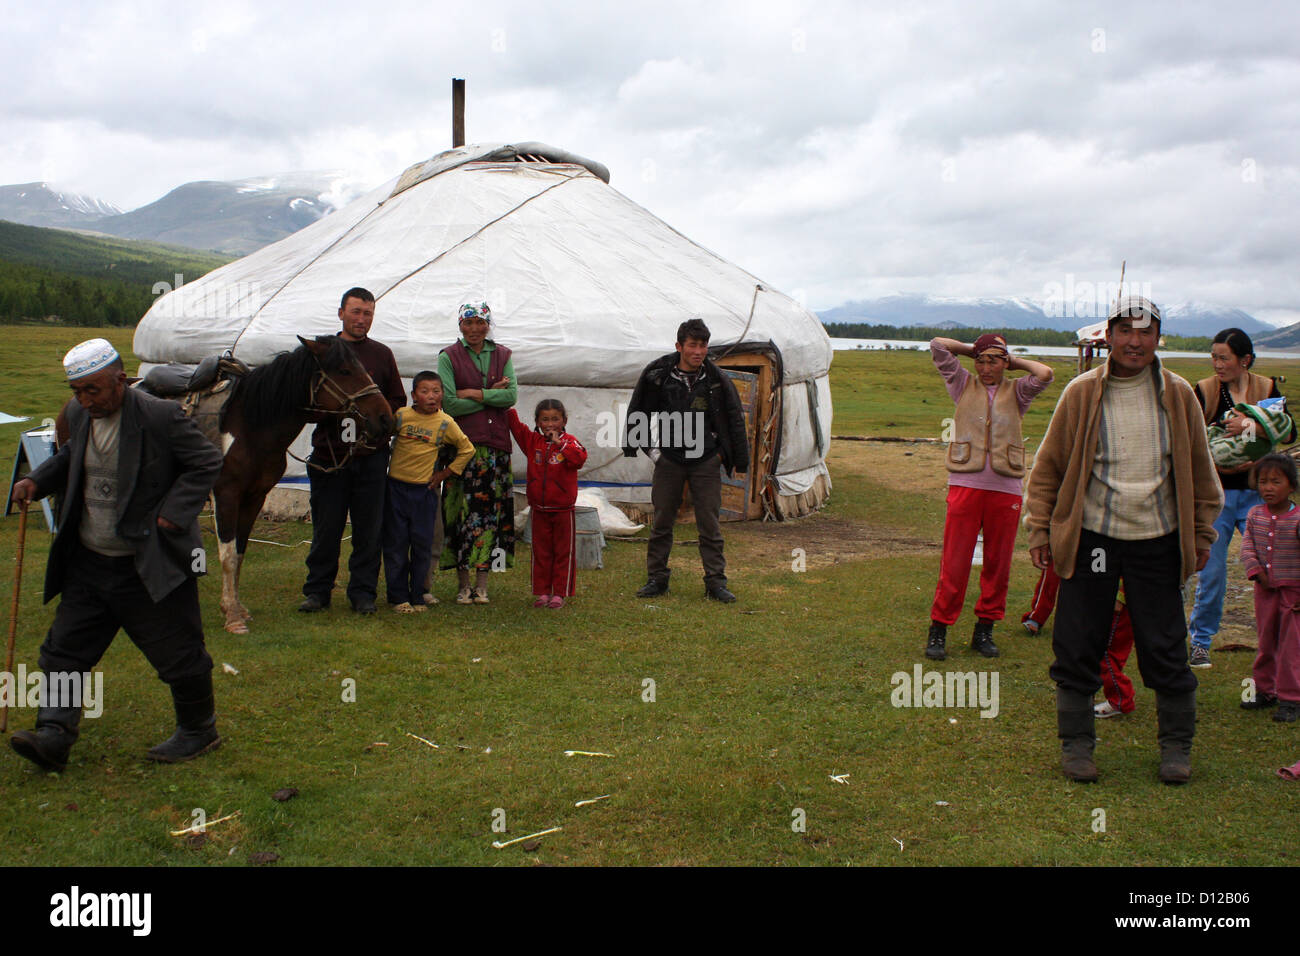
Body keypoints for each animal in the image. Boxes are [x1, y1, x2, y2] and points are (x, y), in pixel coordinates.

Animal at [53, 335, 395, 634]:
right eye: (345, 370)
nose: (385, 418)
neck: (251, 424)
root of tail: (70, 404)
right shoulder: (226, 493)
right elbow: (228, 555)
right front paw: (232, 617)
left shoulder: (255, 495)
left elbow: (240, 552)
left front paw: (238, 608)